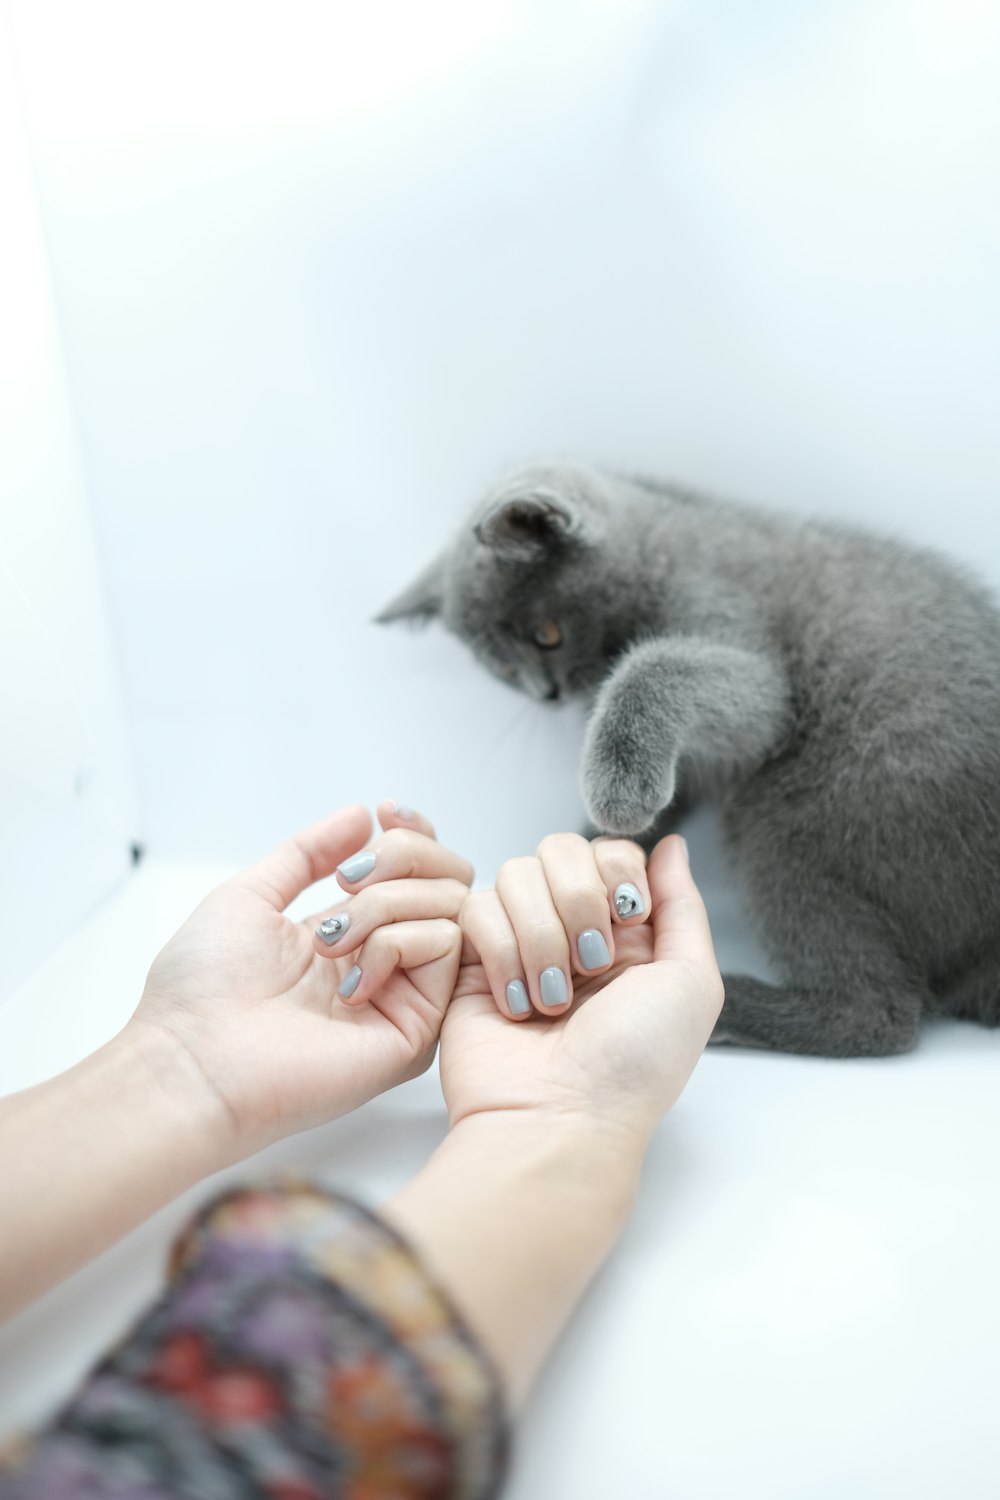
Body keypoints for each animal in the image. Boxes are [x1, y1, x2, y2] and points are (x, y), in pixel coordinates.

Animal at [379, 462, 1000, 1062]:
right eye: (504, 670)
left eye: (547, 635)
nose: (545, 695)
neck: (663, 539)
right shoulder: (696, 760)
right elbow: (680, 780)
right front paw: (597, 843)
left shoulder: (734, 629)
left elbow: (669, 671)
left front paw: (619, 793)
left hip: (805, 816)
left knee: (883, 1013)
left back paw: (729, 1005)